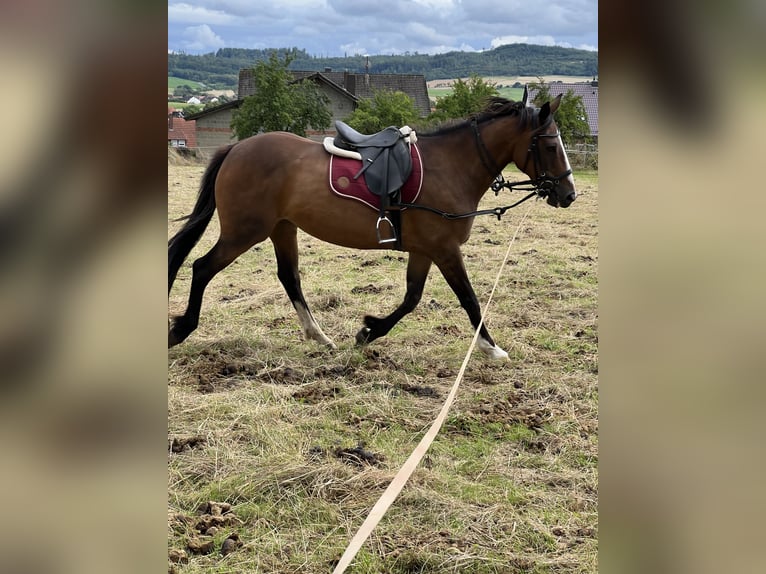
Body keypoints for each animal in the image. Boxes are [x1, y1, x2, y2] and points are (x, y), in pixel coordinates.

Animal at [168, 95, 576, 359]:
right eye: (550, 146)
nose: (569, 194)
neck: (451, 167)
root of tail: (235, 150)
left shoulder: (424, 250)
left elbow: (412, 298)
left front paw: (369, 332)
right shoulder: (444, 249)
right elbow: (469, 299)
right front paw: (492, 348)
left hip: (282, 228)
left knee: (289, 276)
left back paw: (319, 336)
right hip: (244, 231)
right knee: (201, 268)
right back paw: (181, 329)